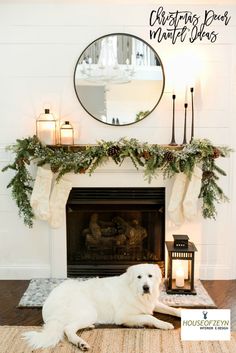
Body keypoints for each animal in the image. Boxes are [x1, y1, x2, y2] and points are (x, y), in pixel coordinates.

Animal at [23, 262, 182, 348]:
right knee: (67, 329)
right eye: (139, 277)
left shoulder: (152, 303)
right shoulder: (123, 316)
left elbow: (172, 309)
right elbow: (150, 318)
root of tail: (50, 304)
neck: (135, 291)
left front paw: (181, 312)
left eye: (150, 276)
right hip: (89, 311)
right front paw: (164, 324)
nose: (146, 287)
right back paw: (80, 343)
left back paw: (87, 330)